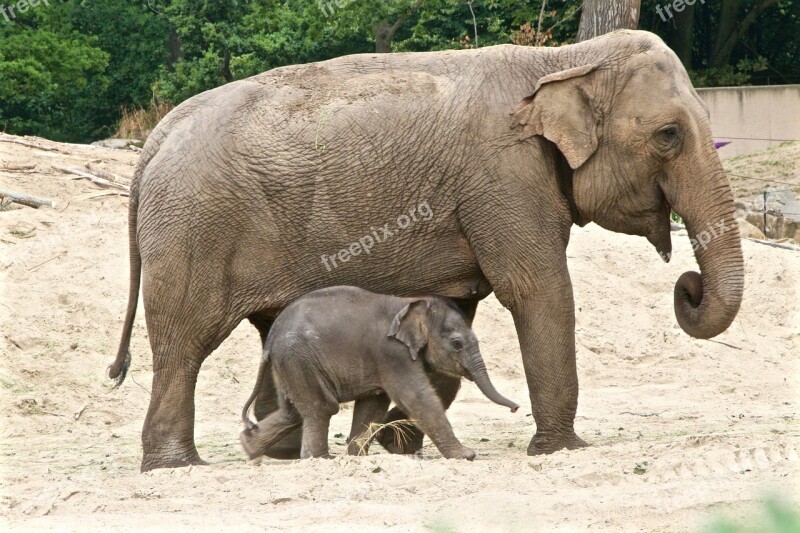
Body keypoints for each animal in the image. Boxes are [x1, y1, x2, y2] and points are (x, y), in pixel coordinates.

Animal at [239, 284, 520, 460]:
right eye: (457, 343)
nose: (516, 408)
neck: (411, 303)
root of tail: (271, 339)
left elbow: (373, 404)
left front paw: (357, 457)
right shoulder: (391, 353)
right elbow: (417, 397)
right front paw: (467, 456)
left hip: (290, 363)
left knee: (293, 412)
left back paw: (248, 448)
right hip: (299, 358)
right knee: (321, 407)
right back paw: (320, 459)